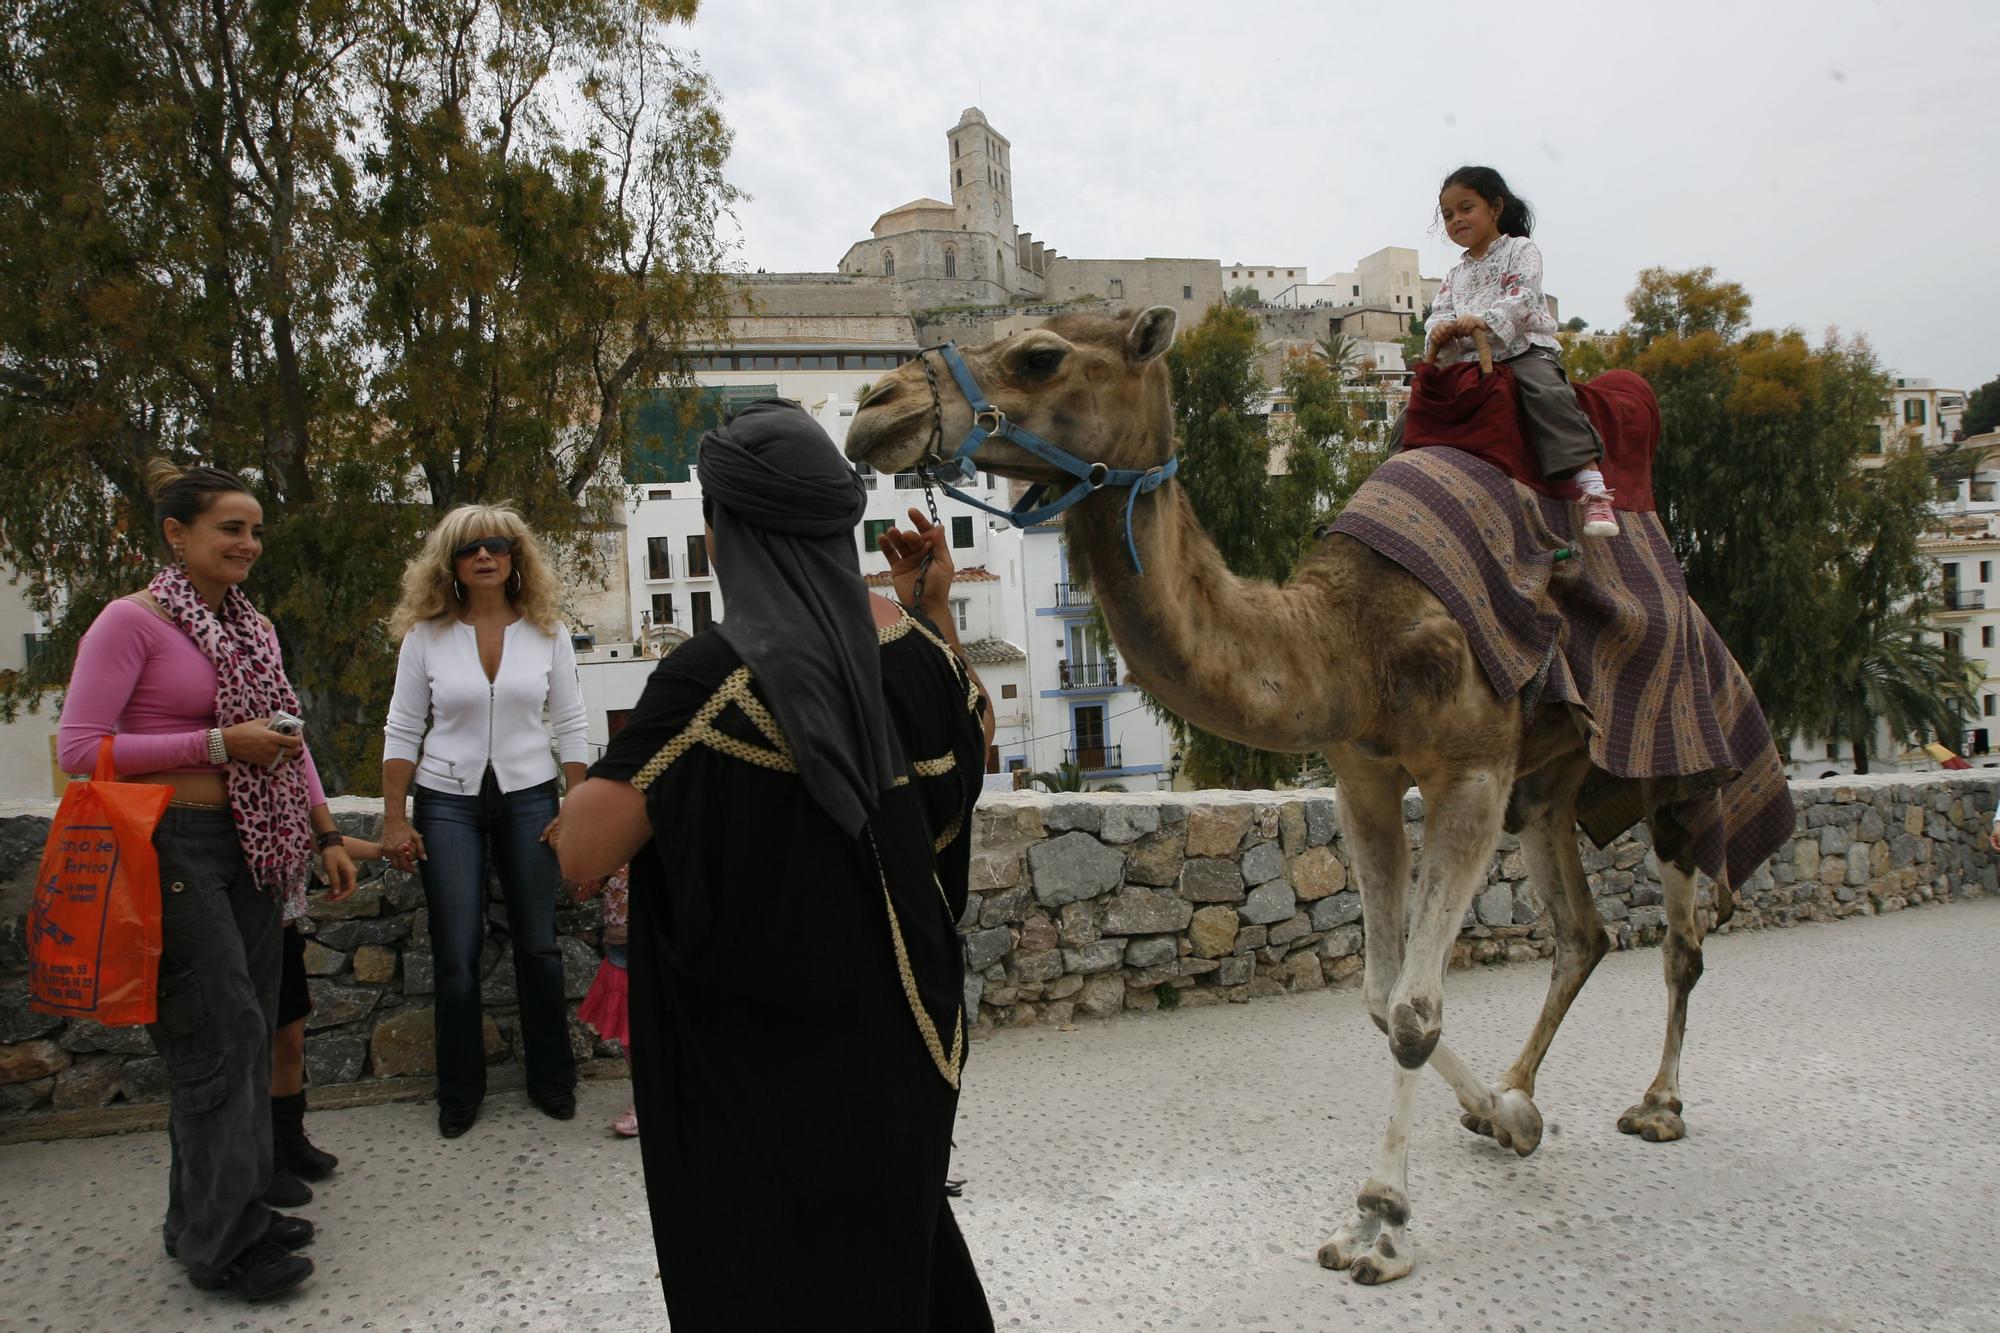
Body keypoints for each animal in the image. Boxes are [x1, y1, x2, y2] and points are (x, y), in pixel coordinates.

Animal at [852, 300, 1728, 1280]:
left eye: (1041, 355)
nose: (875, 407)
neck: (1350, 638)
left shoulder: (1471, 766)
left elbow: (1415, 1012)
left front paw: (1381, 1222)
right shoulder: (1367, 773)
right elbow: (1381, 998)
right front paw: (1500, 1119)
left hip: (1676, 753)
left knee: (1682, 937)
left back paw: (1658, 1104)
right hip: (1550, 785)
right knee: (1583, 931)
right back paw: (1515, 1097)